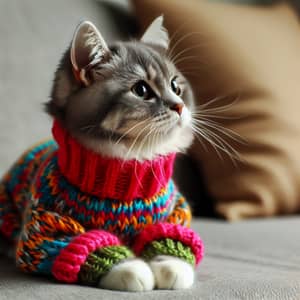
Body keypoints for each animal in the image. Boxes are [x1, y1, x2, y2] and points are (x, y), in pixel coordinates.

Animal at [0, 15, 204, 290]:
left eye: (175, 86)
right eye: (141, 90)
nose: (180, 106)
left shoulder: (175, 212)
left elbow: (171, 236)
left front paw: (171, 265)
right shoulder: (43, 228)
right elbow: (88, 244)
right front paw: (131, 269)